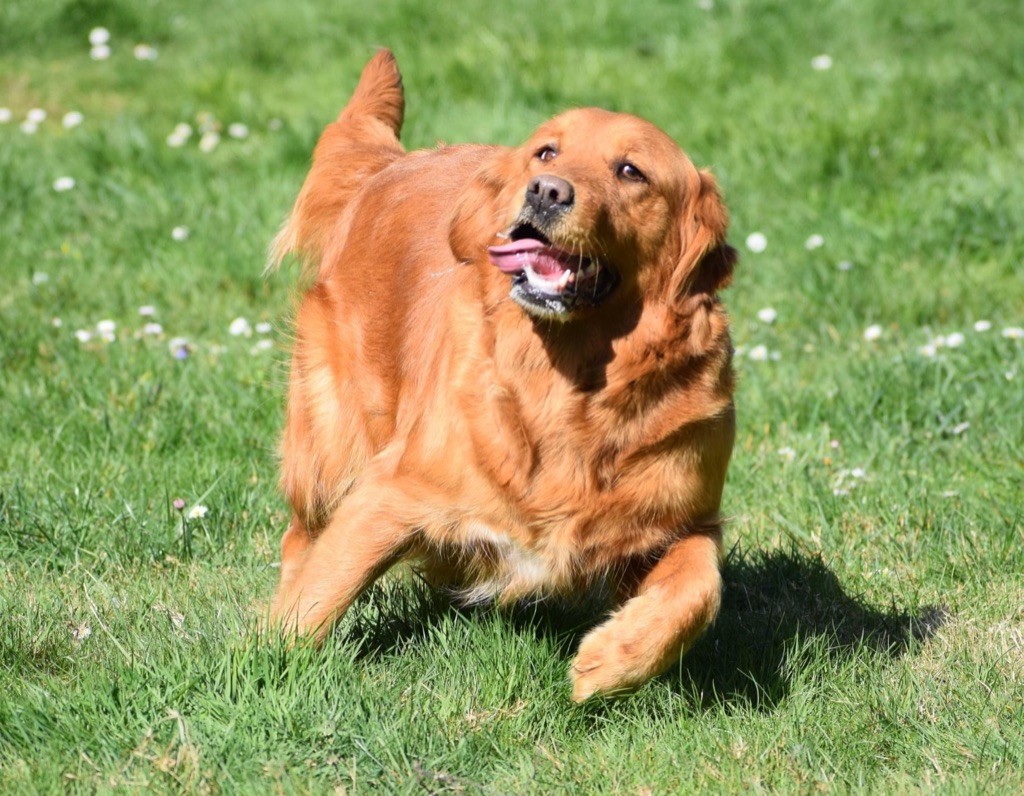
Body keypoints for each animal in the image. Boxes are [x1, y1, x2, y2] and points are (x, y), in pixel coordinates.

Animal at [268, 48, 737, 700]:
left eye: (630, 171)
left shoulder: (681, 519)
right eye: (546, 152)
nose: (545, 191)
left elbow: (700, 587)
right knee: (303, 538)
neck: (569, 385)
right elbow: (317, 598)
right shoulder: (389, 493)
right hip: (332, 443)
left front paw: (611, 662)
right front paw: (260, 665)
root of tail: (390, 166)